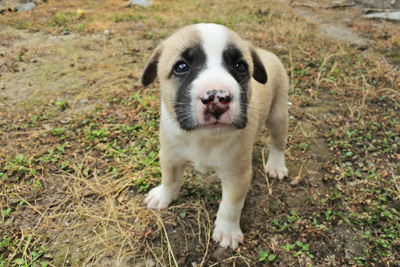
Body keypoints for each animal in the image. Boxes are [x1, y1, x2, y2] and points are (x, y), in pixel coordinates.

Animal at [141, 23, 288, 251]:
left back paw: (276, 165)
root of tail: (266, 53)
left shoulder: (237, 175)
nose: (217, 97)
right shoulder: (170, 156)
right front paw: (163, 196)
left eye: (240, 66)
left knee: (278, 142)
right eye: (181, 67)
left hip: (278, 116)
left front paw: (227, 231)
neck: (202, 137)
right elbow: (170, 179)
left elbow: (231, 205)